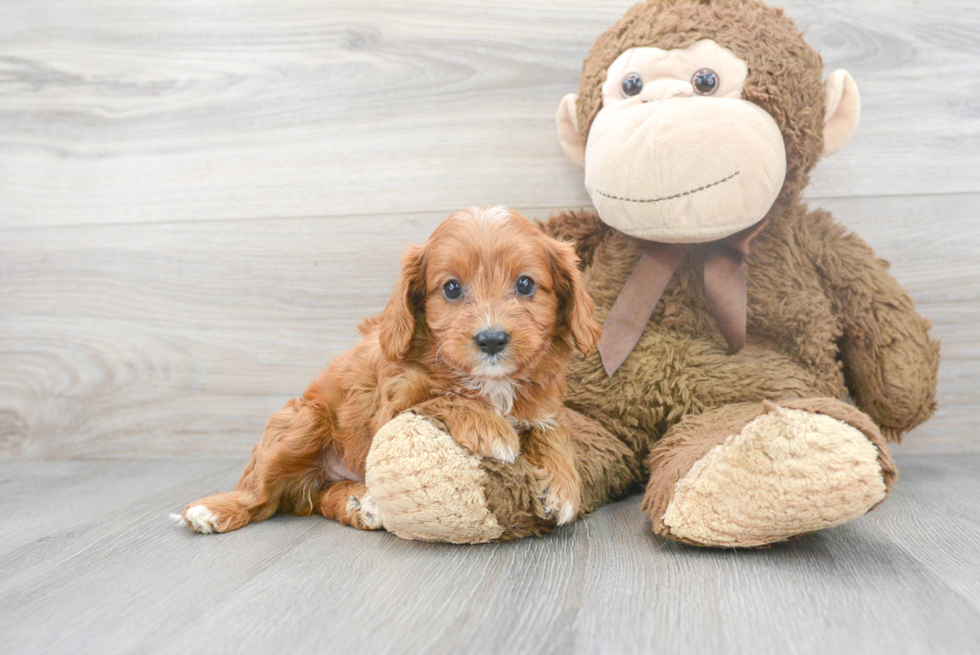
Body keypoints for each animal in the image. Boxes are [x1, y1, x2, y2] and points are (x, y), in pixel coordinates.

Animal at [180, 208, 600, 536]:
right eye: (451, 288)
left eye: (525, 284)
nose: (492, 339)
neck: (489, 382)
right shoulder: (394, 407)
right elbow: (442, 397)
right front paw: (490, 428)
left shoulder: (544, 407)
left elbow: (553, 435)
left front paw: (563, 488)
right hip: (305, 420)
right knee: (262, 496)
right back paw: (213, 510)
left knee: (314, 497)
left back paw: (358, 503)